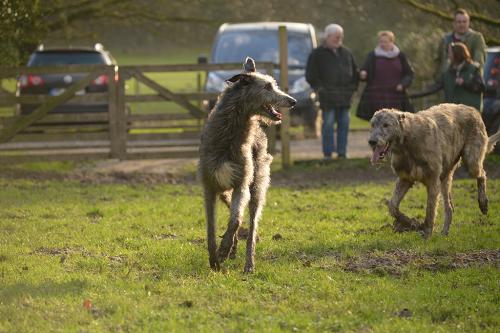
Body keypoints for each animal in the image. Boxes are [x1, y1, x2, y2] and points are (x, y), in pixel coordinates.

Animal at [197, 56, 294, 270]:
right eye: (267, 87)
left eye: (273, 84)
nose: (293, 101)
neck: (229, 135)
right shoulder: (210, 187)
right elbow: (211, 228)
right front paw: (215, 259)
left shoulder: (242, 184)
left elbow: (236, 221)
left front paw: (223, 250)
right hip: (225, 191)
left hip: (257, 186)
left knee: (249, 225)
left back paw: (248, 264)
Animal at [368, 103, 500, 236]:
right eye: (372, 125)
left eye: (386, 125)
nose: (371, 142)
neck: (407, 141)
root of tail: (474, 110)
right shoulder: (405, 179)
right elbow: (393, 207)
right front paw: (412, 223)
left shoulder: (432, 180)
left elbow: (430, 210)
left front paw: (426, 232)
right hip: (445, 177)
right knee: (449, 207)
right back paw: (444, 232)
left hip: (471, 161)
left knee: (482, 174)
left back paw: (483, 202)